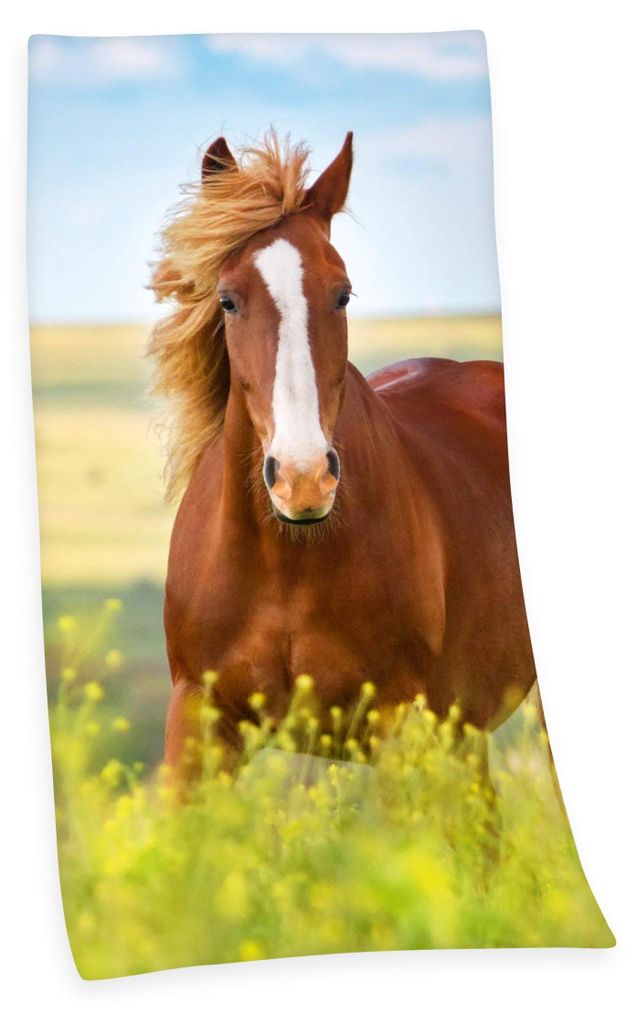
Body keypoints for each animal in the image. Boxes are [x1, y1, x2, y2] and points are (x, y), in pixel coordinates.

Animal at [149, 130, 536, 773]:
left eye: (343, 294)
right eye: (227, 300)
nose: (303, 479)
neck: (287, 561)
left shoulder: (399, 723)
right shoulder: (197, 720)